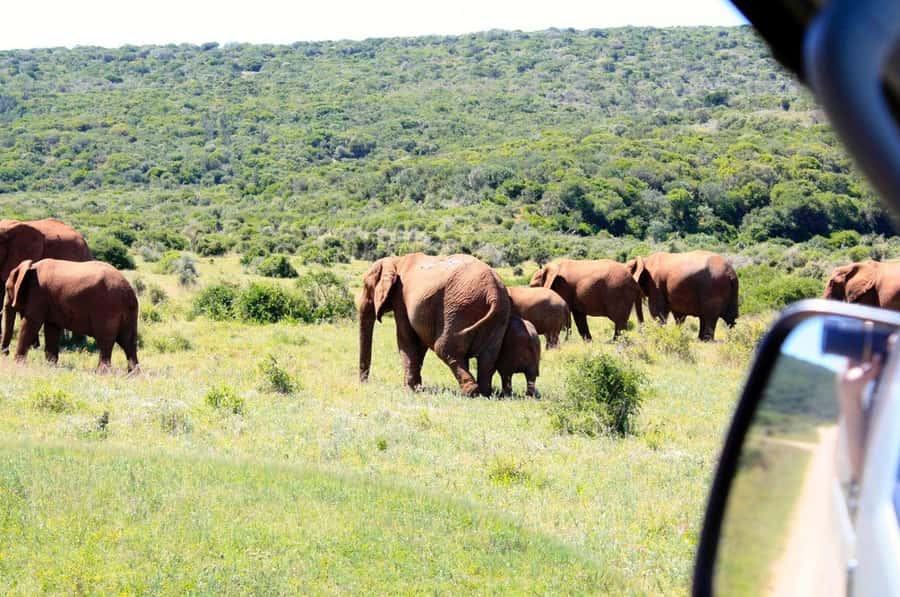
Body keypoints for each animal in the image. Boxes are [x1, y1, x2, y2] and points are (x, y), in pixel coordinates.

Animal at [3, 259, 139, 373]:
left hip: (108, 308)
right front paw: (51, 366)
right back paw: (133, 374)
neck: (30, 267)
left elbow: (31, 323)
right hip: (129, 311)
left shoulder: (38, 294)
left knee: (105, 340)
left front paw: (18, 364)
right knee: (128, 340)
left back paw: (102, 373)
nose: (5, 353)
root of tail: (129, 291)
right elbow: (52, 328)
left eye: (7, 289)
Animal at [358, 253, 510, 397]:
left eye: (365, 285)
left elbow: (406, 339)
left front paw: (410, 390)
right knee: (488, 357)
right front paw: (417, 388)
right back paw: (484, 393)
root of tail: (492, 294)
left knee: (444, 349)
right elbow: (418, 344)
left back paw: (469, 392)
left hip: (457, 310)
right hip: (498, 317)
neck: (396, 261)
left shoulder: (400, 299)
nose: (364, 383)